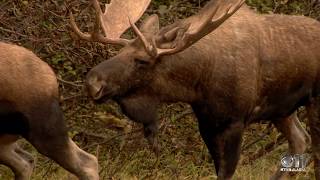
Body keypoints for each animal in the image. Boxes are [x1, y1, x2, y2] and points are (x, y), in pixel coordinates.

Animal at [70, 0, 320, 179]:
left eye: (141, 60)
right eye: (120, 52)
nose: (92, 82)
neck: (197, 83)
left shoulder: (235, 121)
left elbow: (227, 172)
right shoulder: (207, 122)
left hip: (313, 101)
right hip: (281, 109)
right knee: (300, 140)